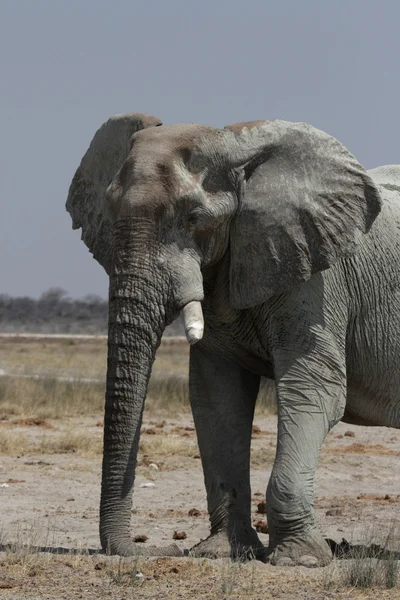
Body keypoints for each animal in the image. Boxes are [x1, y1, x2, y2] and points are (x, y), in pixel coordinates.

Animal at [66, 112, 400, 568]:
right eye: (109, 210)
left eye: (193, 217)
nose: (158, 547)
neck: (235, 149)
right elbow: (217, 397)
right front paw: (223, 553)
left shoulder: (318, 279)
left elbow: (316, 389)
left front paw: (299, 561)